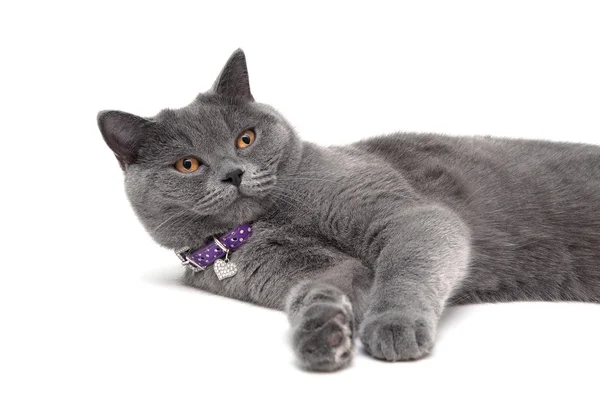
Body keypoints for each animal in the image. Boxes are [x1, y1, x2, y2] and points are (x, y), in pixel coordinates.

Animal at [98, 49, 600, 372]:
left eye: (245, 138)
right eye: (188, 164)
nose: (234, 173)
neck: (270, 223)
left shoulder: (405, 214)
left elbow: (403, 267)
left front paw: (394, 326)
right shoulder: (307, 270)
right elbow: (319, 288)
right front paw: (323, 333)